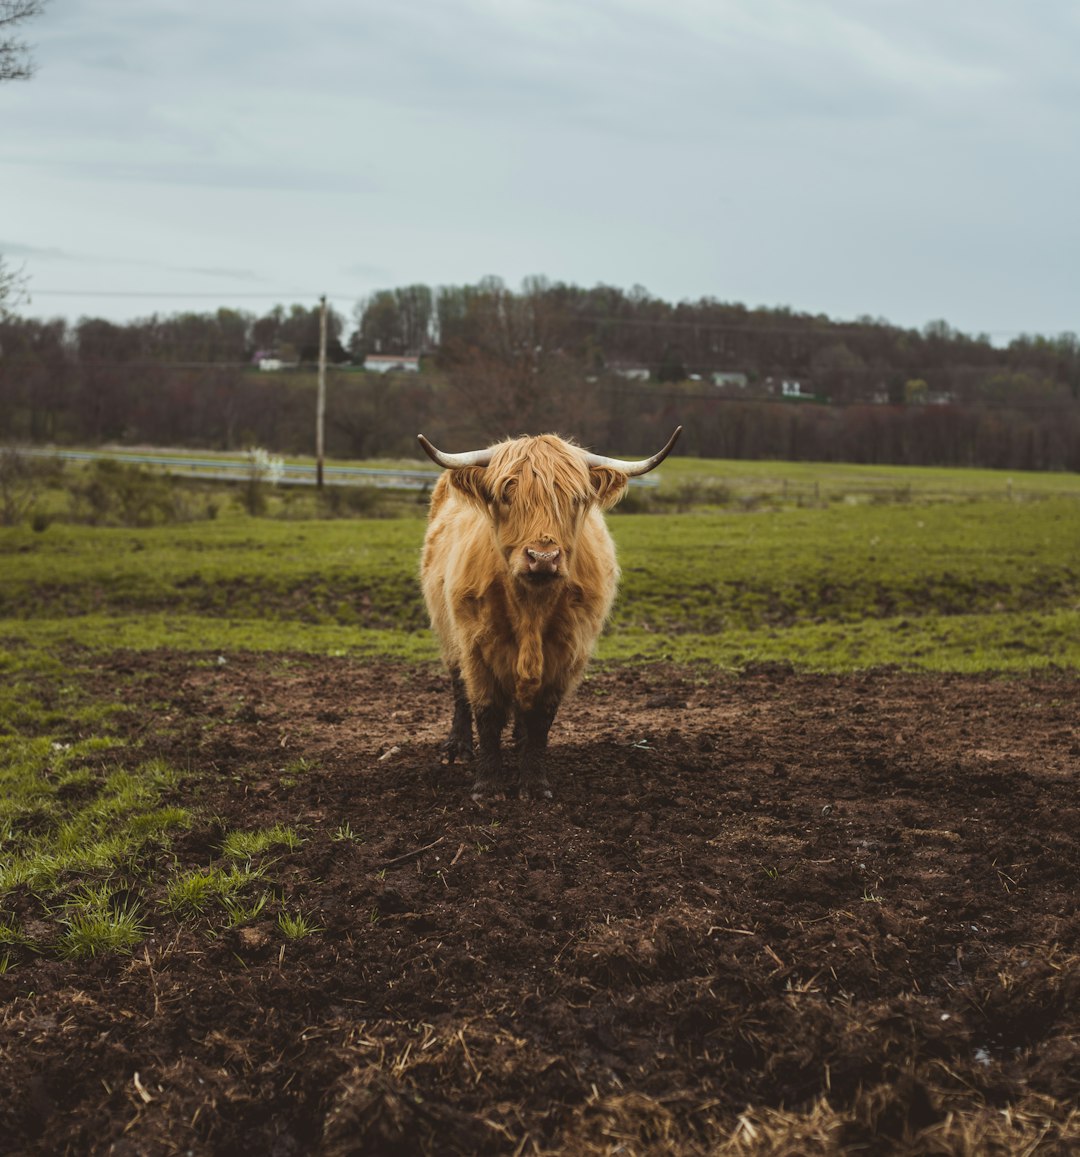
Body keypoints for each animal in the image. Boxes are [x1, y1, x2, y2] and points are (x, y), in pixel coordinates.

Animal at [416, 430, 680, 800]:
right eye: (505, 494)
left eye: (575, 498)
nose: (543, 557)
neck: (531, 608)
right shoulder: (475, 646)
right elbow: (487, 711)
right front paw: (488, 785)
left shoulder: (567, 652)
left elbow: (541, 718)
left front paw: (534, 784)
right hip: (446, 629)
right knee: (458, 687)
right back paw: (458, 748)